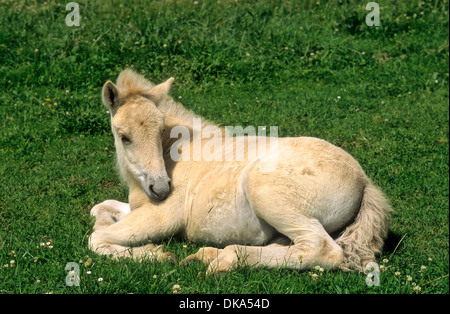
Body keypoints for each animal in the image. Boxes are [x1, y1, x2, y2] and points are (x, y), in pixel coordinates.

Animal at [88, 69, 390, 274]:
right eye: (124, 136)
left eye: (160, 129)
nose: (161, 188)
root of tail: (364, 181)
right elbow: (99, 208)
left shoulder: (161, 217)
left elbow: (96, 238)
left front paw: (158, 255)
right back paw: (207, 255)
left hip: (266, 192)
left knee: (321, 248)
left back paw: (224, 259)